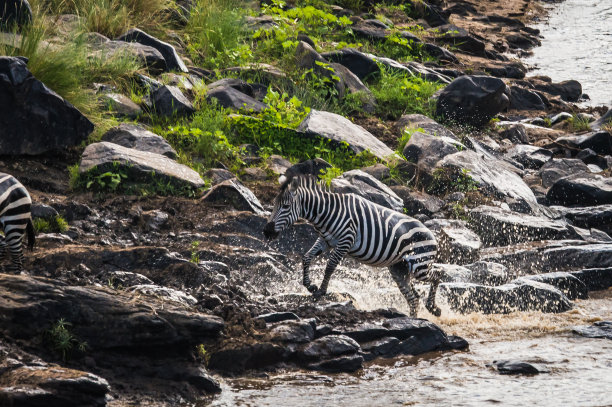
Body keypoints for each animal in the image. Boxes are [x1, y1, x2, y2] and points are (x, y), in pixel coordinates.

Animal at [262, 175, 440, 318]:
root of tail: (432, 235)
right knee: (414, 298)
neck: (327, 213)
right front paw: (310, 286)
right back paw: (414, 320)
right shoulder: (325, 241)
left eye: (286, 207)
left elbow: (330, 266)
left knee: (437, 276)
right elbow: (306, 257)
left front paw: (321, 291)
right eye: (274, 204)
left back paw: (433, 308)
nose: (266, 231)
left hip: (419, 264)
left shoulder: (345, 241)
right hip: (399, 269)